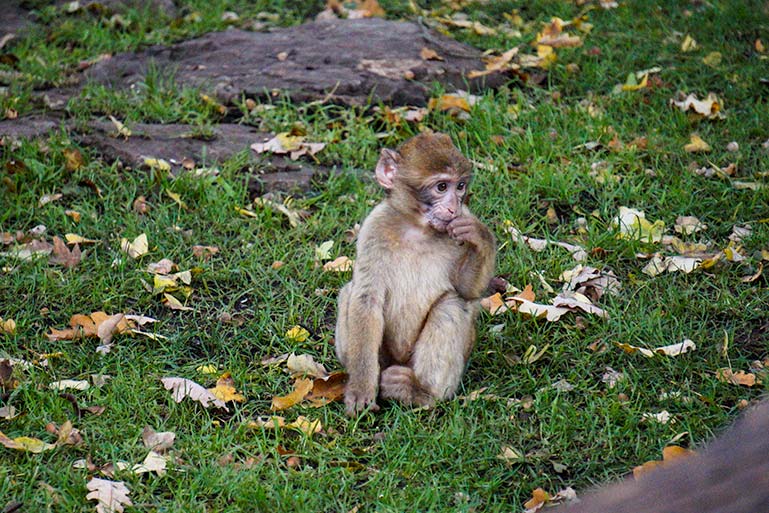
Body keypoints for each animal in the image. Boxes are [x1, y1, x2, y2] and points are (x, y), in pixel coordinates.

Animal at [334, 132, 492, 416]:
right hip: (384, 358)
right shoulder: (374, 228)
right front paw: (361, 388)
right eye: (441, 187)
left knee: (452, 304)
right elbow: (366, 299)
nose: (453, 207)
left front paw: (481, 236)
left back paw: (420, 393)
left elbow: (466, 290)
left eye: (460, 186)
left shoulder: (465, 217)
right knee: (350, 292)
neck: (417, 228)